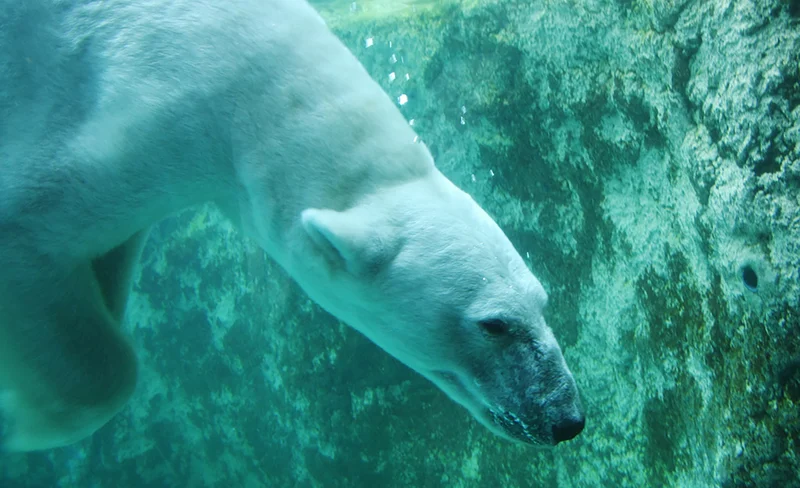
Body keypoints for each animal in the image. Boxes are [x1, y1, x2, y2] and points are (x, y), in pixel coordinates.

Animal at [0, 0, 584, 452]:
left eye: (542, 302)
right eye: (494, 324)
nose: (567, 419)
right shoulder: (143, 107)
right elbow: (29, 227)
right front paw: (22, 426)